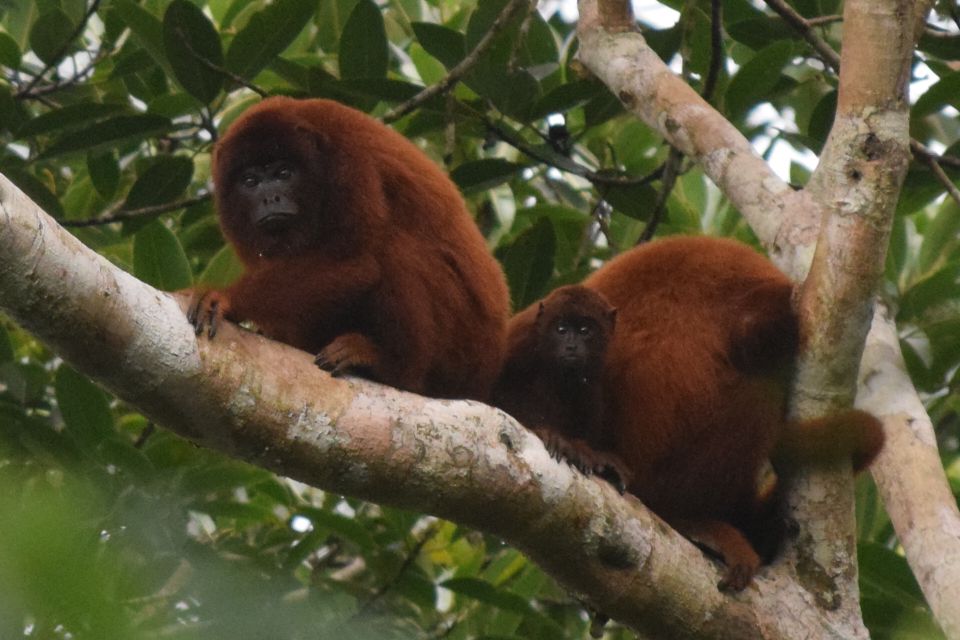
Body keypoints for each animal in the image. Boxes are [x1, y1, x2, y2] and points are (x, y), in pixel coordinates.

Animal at [186, 97, 510, 400]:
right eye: (250, 181)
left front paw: (225, 298)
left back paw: (389, 366)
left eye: (283, 173)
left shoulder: (349, 160)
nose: (270, 198)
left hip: (461, 349)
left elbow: (355, 261)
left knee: (394, 249)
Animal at [488, 284, 632, 490]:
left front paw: (585, 450)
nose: (571, 346)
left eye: (584, 330)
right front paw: (547, 433)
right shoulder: (521, 339)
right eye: (561, 329)